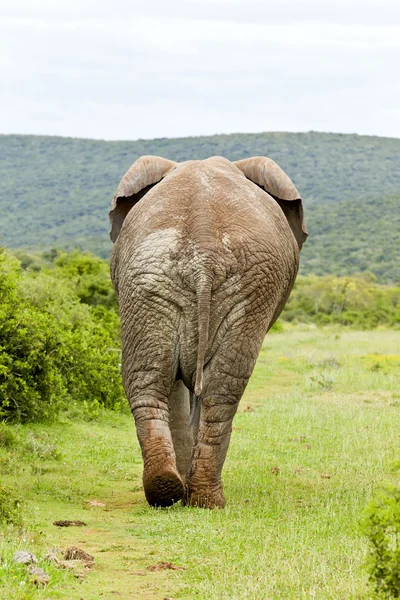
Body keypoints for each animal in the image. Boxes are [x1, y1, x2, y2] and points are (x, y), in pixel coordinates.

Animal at [108, 154, 308, 506]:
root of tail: (203, 257)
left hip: (159, 281)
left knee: (155, 379)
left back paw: (174, 490)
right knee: (213, 388)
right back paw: (196, 496)